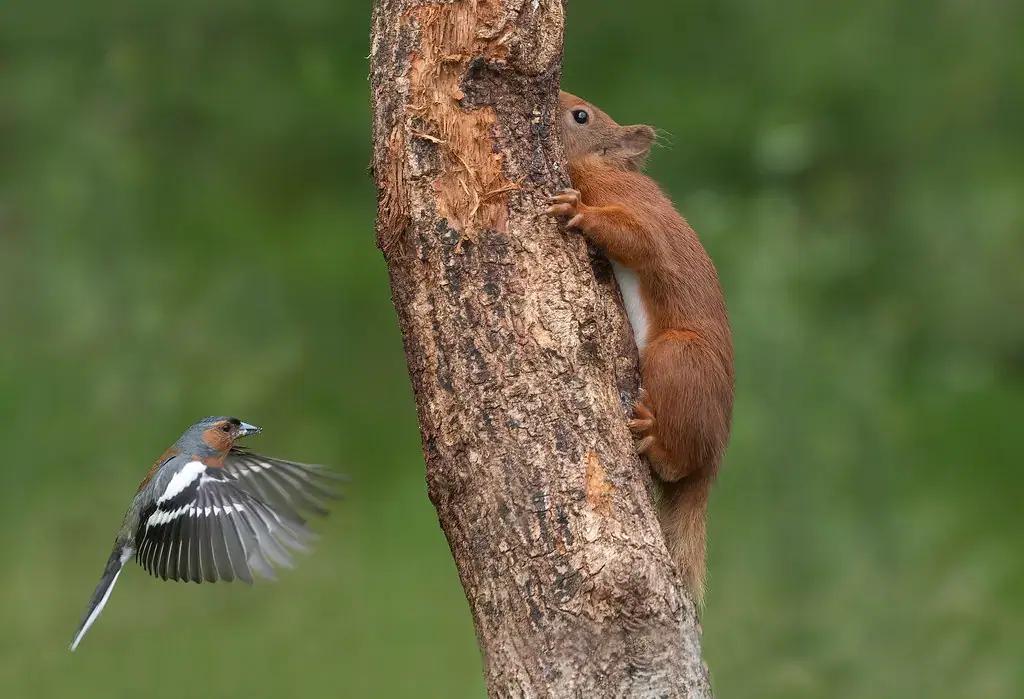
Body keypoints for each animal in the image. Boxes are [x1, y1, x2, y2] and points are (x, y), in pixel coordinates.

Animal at [546, 91, 734, 604]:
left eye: (581, 116)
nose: (557, 95)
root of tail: (716, 457)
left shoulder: (633, 206)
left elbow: (640, 240)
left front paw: (580, 214)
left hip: (676, 356)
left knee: (679, 464)